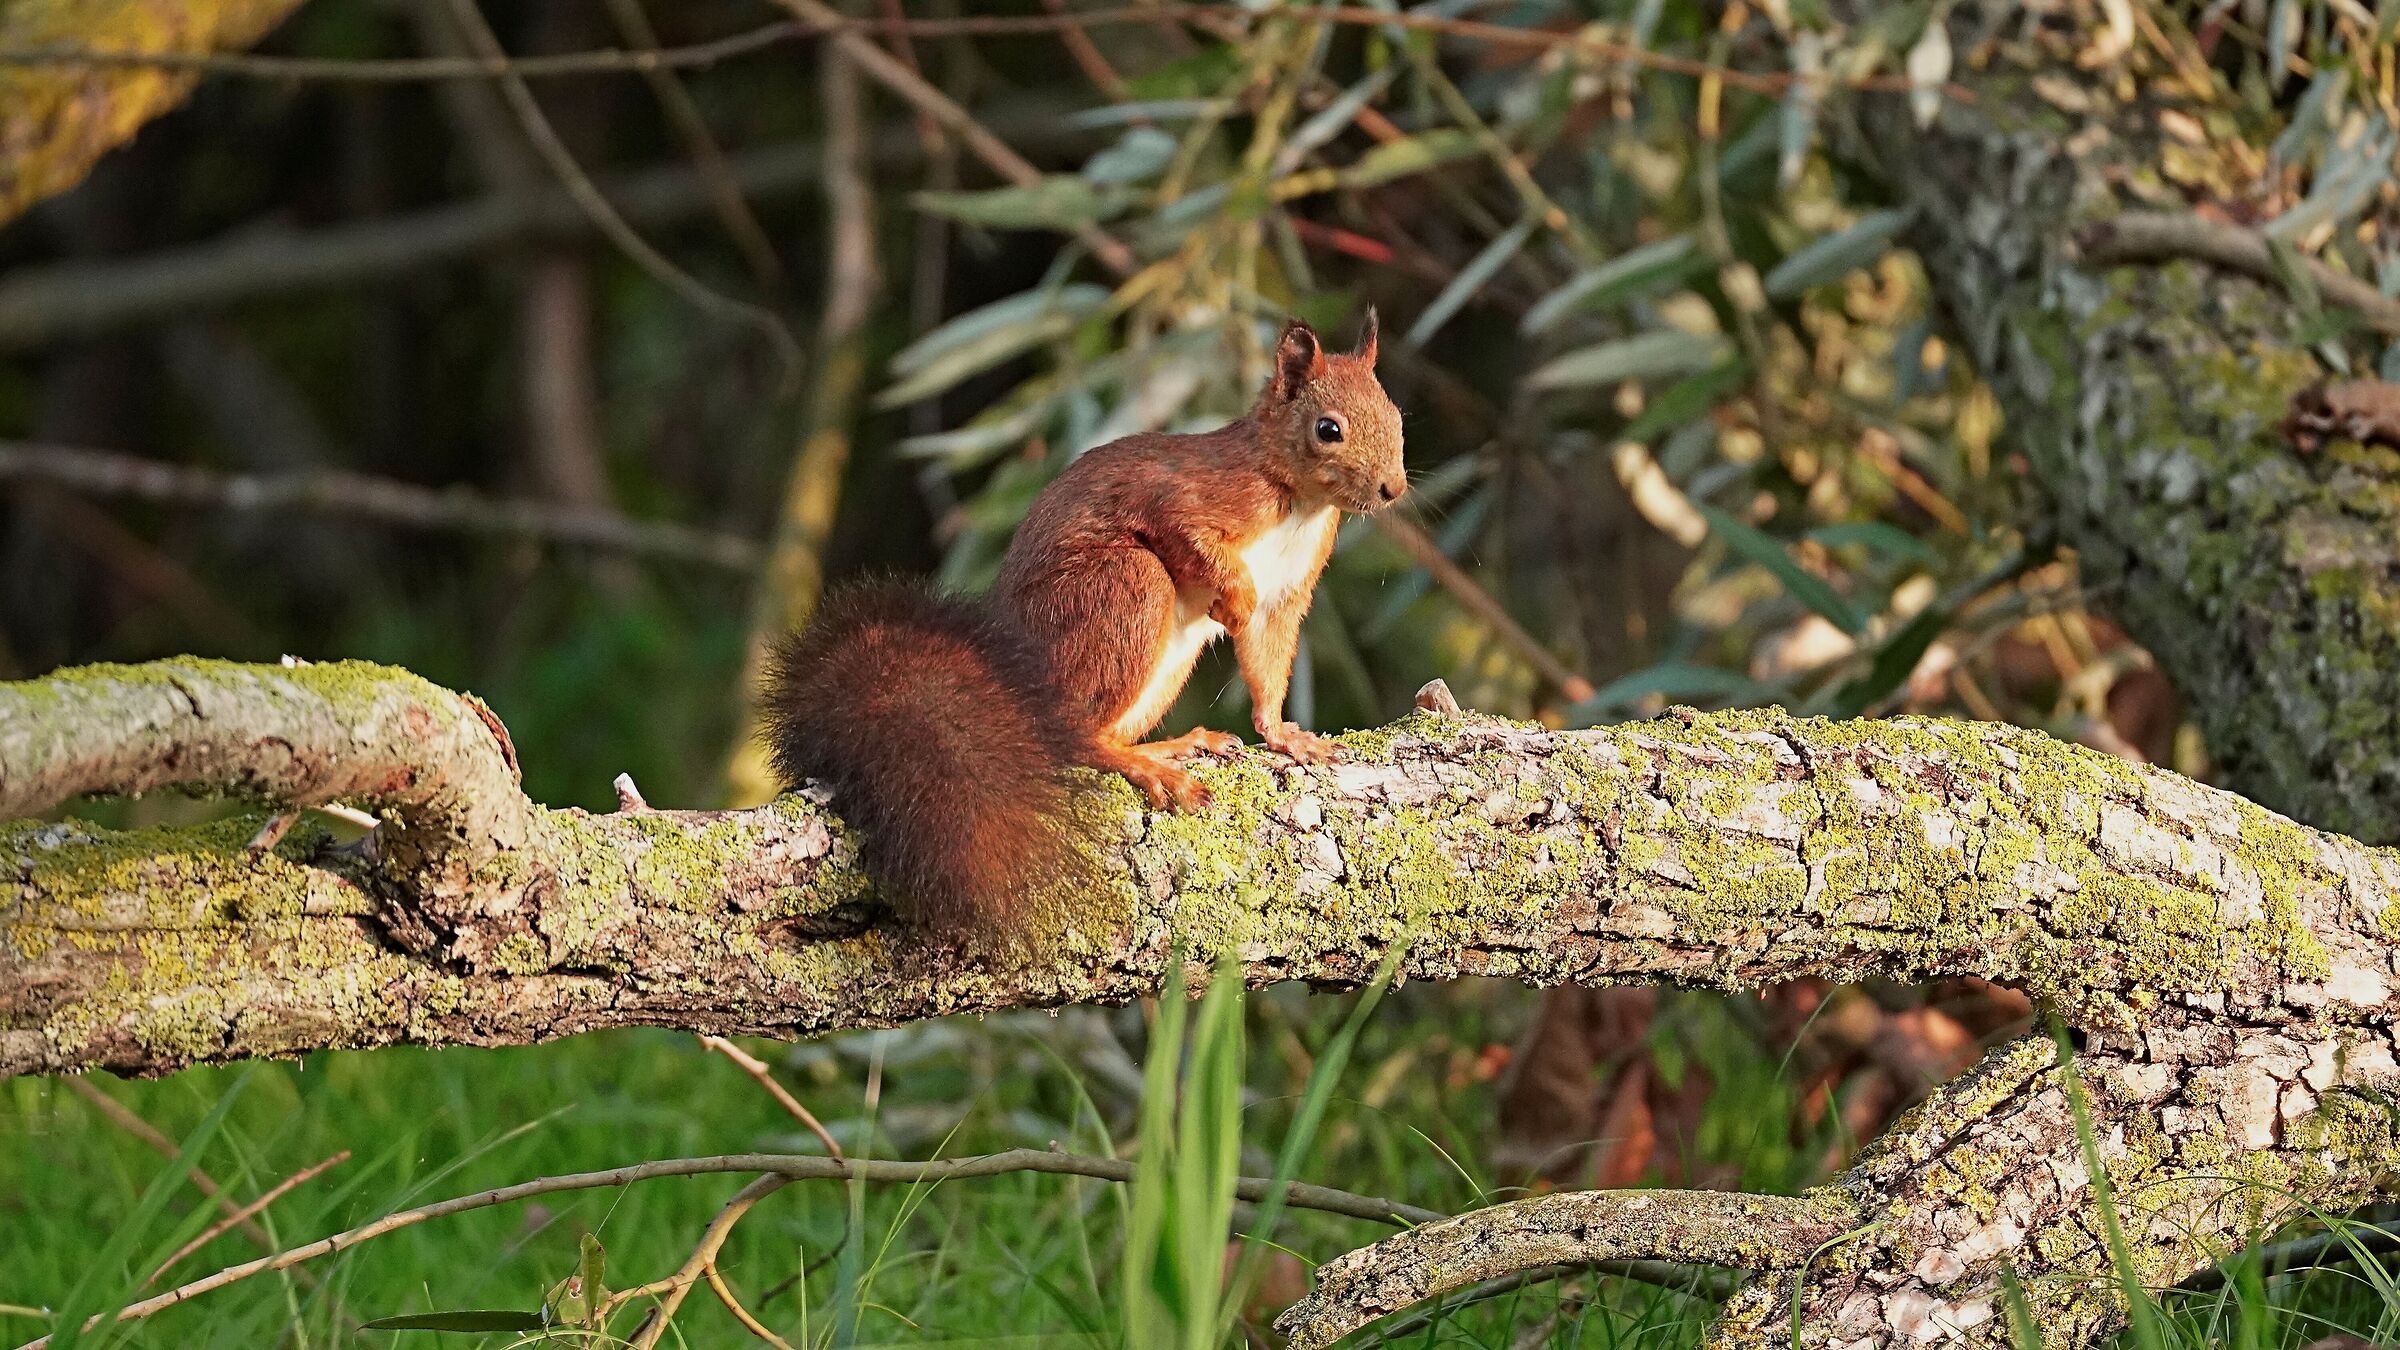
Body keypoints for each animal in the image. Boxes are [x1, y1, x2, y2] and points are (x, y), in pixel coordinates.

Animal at [760, 311, 1406, 939]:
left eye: (1397, 417)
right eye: (1328, 429)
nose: (1393, 489)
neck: (1298, 500)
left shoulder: (1289, 593)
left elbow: (1268, 661)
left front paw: (1284, 735)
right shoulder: (1188, 495)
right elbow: (1186, 536)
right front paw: (1233, 599)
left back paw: (1172, 745)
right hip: (1125, 588)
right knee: (1074, 739)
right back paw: (1144, 764)